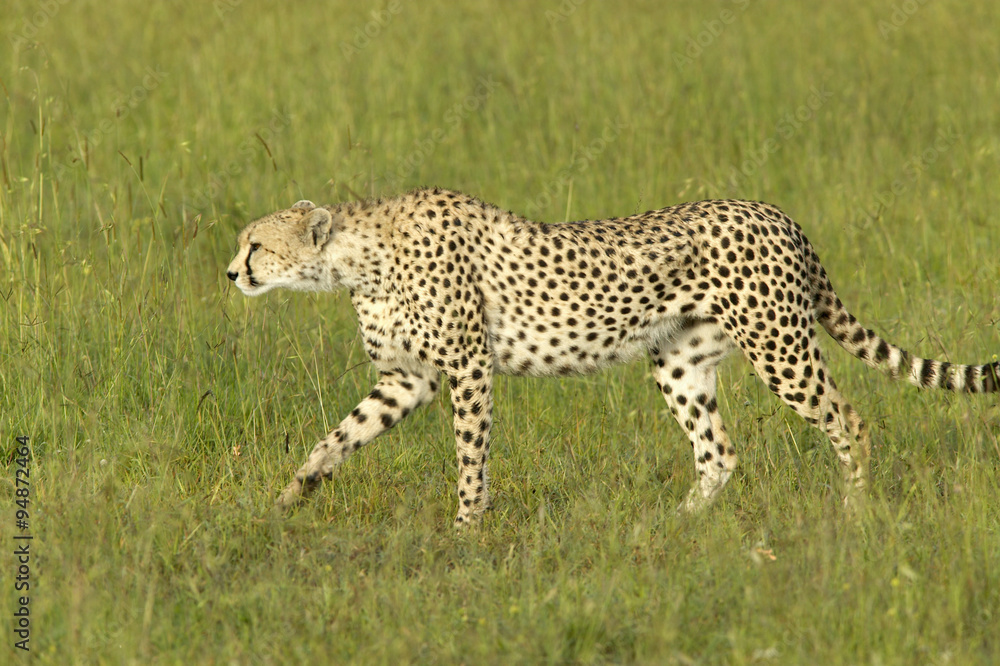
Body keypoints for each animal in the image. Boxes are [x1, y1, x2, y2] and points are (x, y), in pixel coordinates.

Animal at [226, 188, 999, 527]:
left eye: (255, 244)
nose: (232, 273)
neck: (356, 258)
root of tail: (777, 212)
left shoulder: (467, 370)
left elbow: (470, 458)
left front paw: (466, 530)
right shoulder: (406, 380)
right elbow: (337, 436)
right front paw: (290, 495)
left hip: (779, 347)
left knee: (850, 420)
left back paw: (855, 510)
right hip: (680, 362)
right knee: (720, 452)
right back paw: (675, 525)